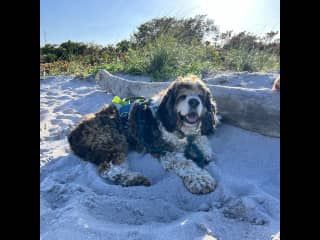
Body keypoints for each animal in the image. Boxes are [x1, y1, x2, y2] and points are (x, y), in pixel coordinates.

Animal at [68, 75, 219, 195]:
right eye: (182, 96)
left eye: (201, 96)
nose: (194, 101)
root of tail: (73, 135)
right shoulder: (164, 151)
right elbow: (186, 164)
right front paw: (201, 180)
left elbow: (201, 139)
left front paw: (204, 150)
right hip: (114, 140)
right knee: (109, 169)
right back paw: (135, 179)